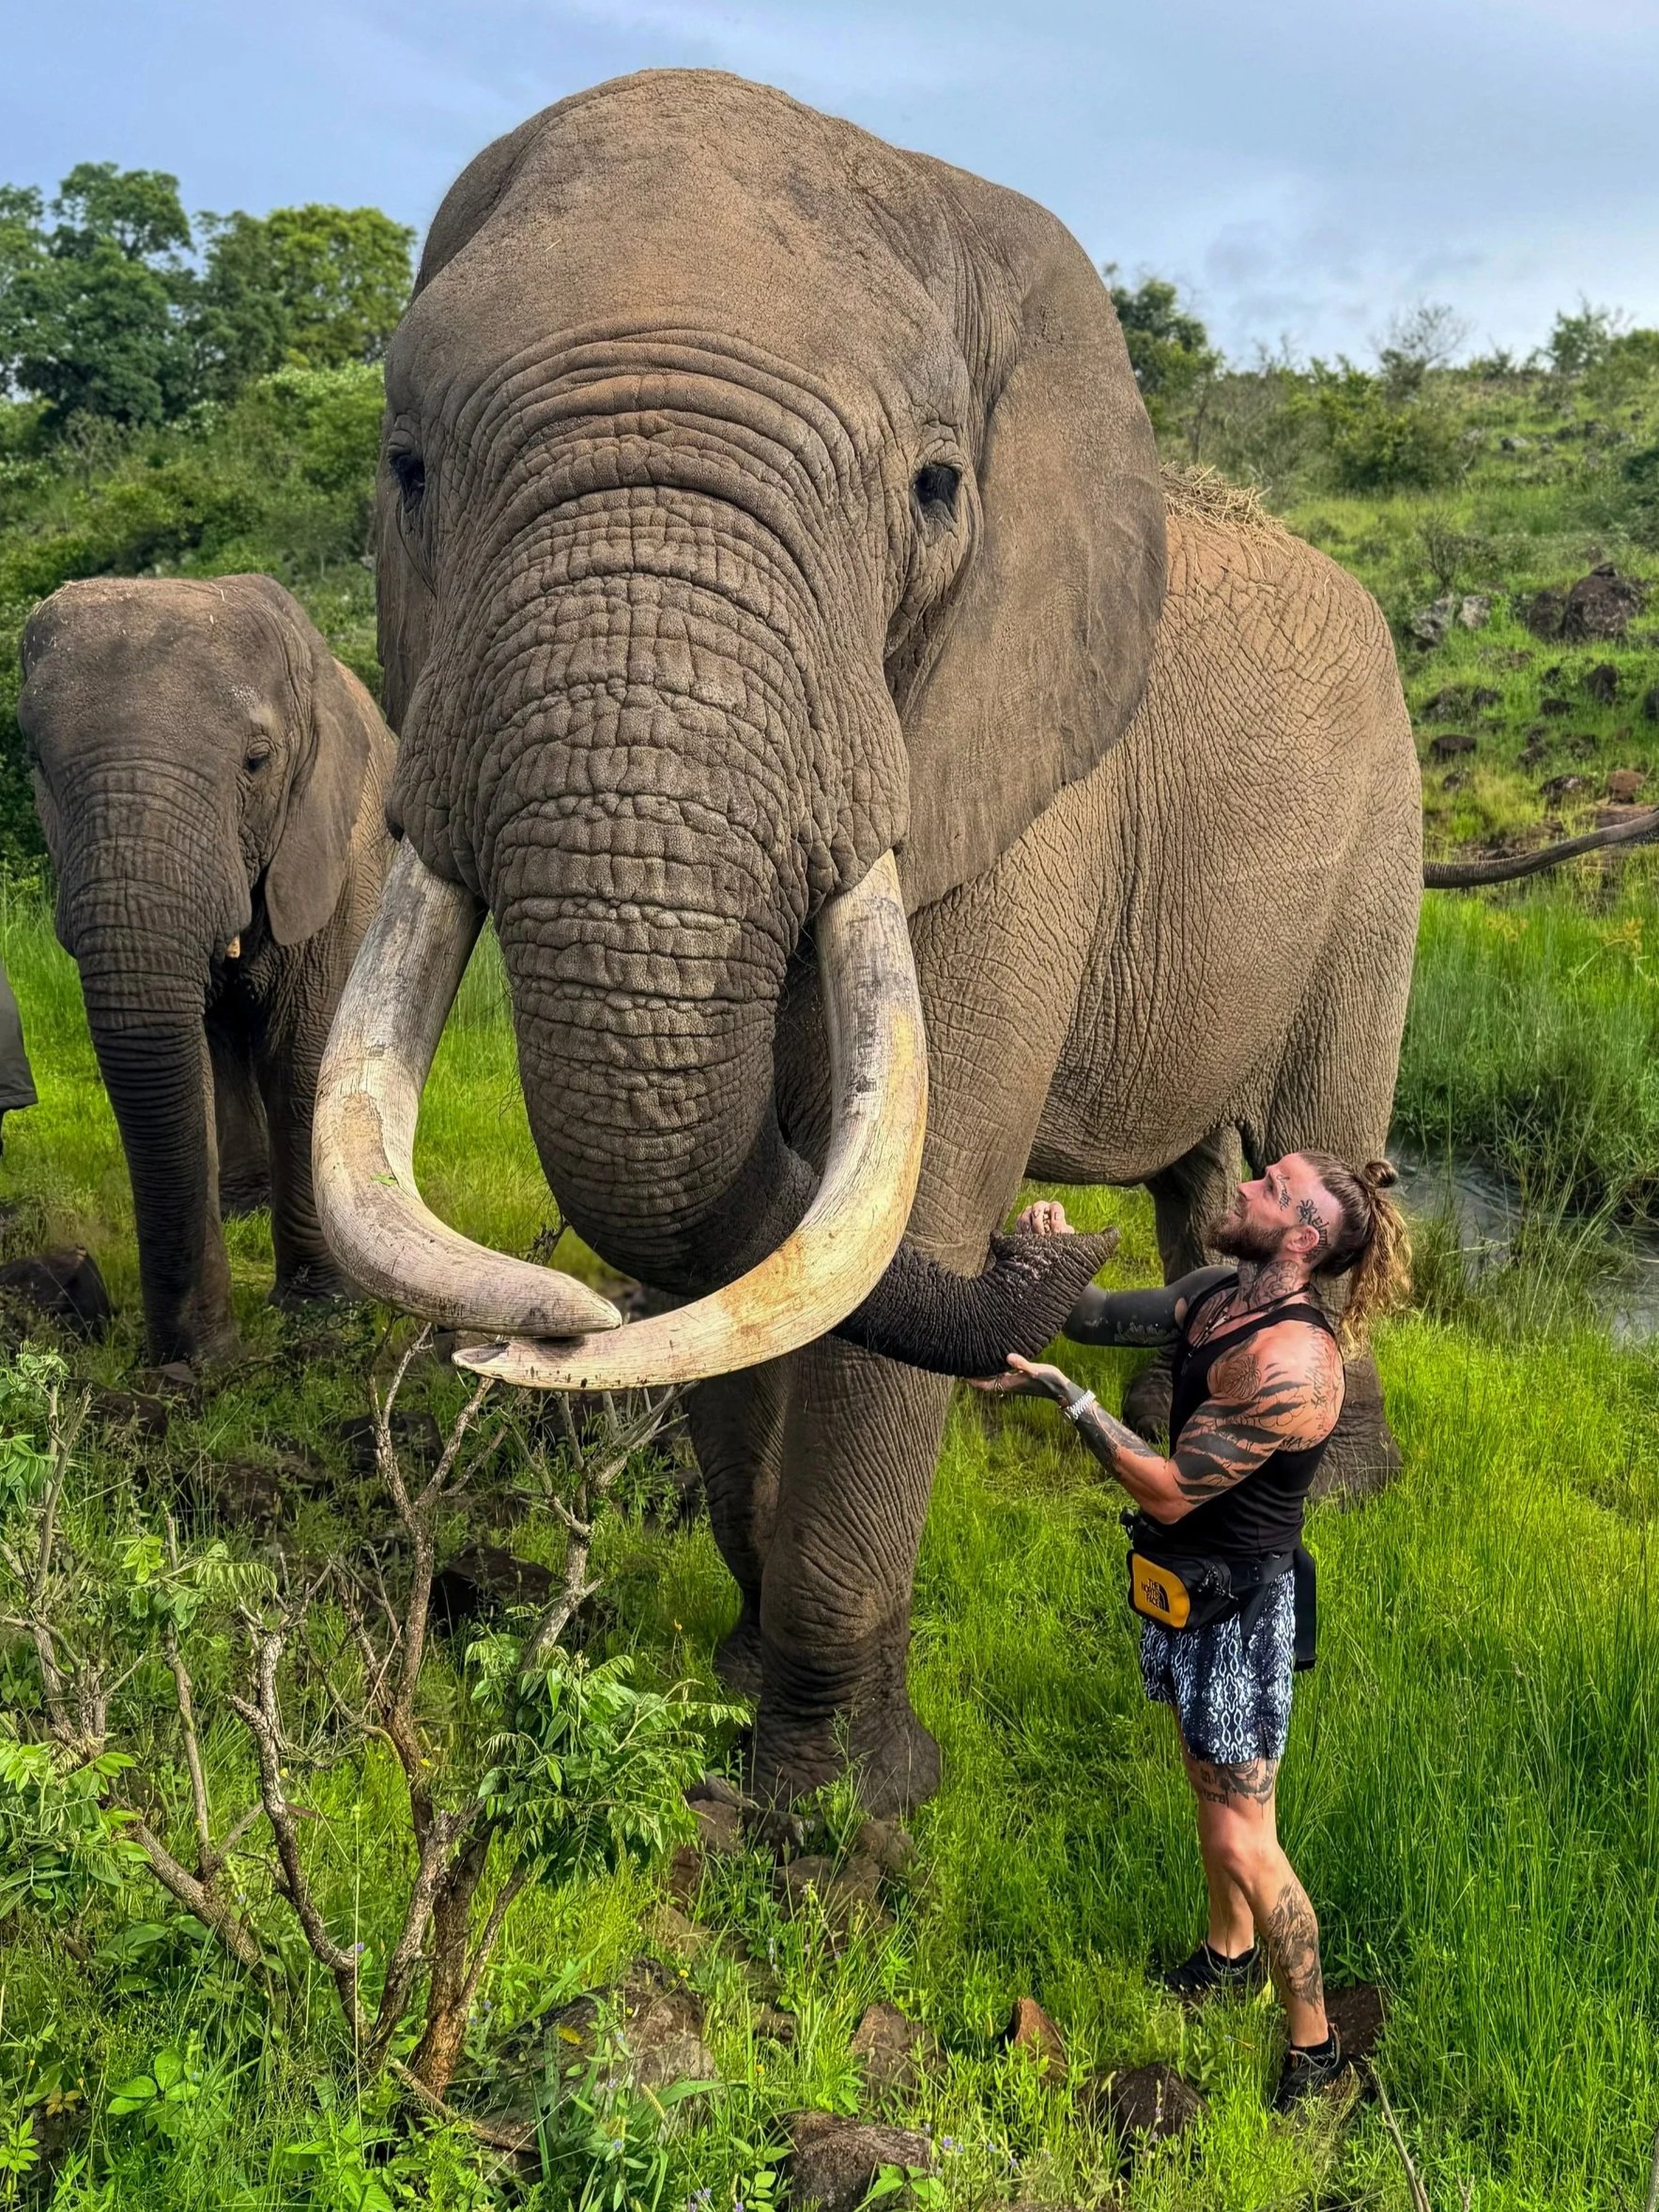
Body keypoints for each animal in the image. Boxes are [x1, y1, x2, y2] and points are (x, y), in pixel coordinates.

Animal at [19, 573, 395, 1367]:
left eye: (257, 760)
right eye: (35, 762)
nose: (189, 1366)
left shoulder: (336, 849)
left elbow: (301, 1052)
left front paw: (319, 1314)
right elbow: (178, 1052)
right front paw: (199, 1364)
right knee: (221, 1042)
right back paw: (243, 1206)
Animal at [311, 71, 1421, 1812]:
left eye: (934, 488)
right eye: (407, 468)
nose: (1056, 1249)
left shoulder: (1019, 788)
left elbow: (919, 1201)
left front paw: (839, 1822)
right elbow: (745, 1248)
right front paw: (747, 1696)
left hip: (1382, 823)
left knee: (1322, 1124)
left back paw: (1341, 1479)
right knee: (1211, 1176)